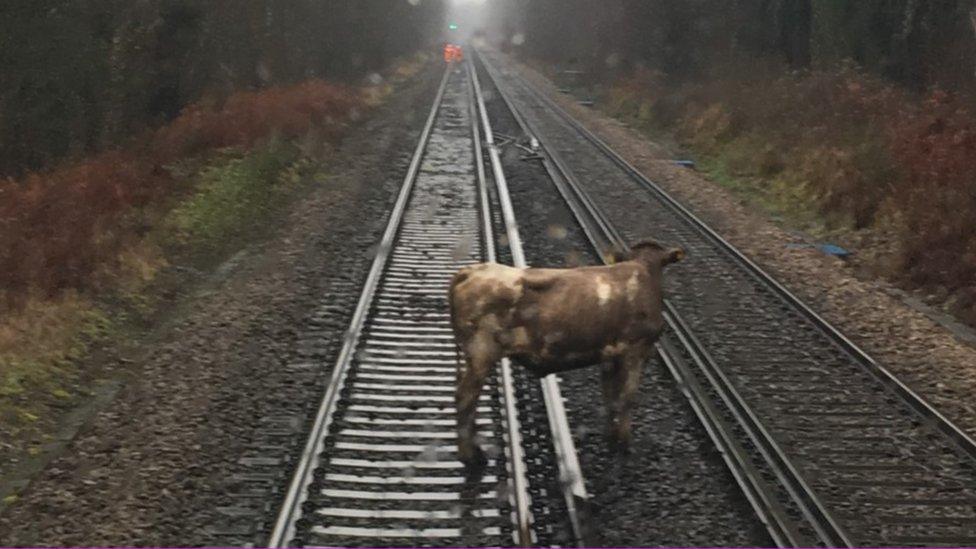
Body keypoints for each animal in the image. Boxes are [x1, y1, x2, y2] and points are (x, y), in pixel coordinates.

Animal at [450, 238, 688, 468]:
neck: (644, 270)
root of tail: (472, 270)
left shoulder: (610, 355)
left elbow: (610, 396)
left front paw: (612, 438)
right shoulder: (636, 350)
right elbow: (627, 397)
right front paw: (625, 444)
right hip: (481, 354)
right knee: (465, 397)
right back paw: (471, 456)